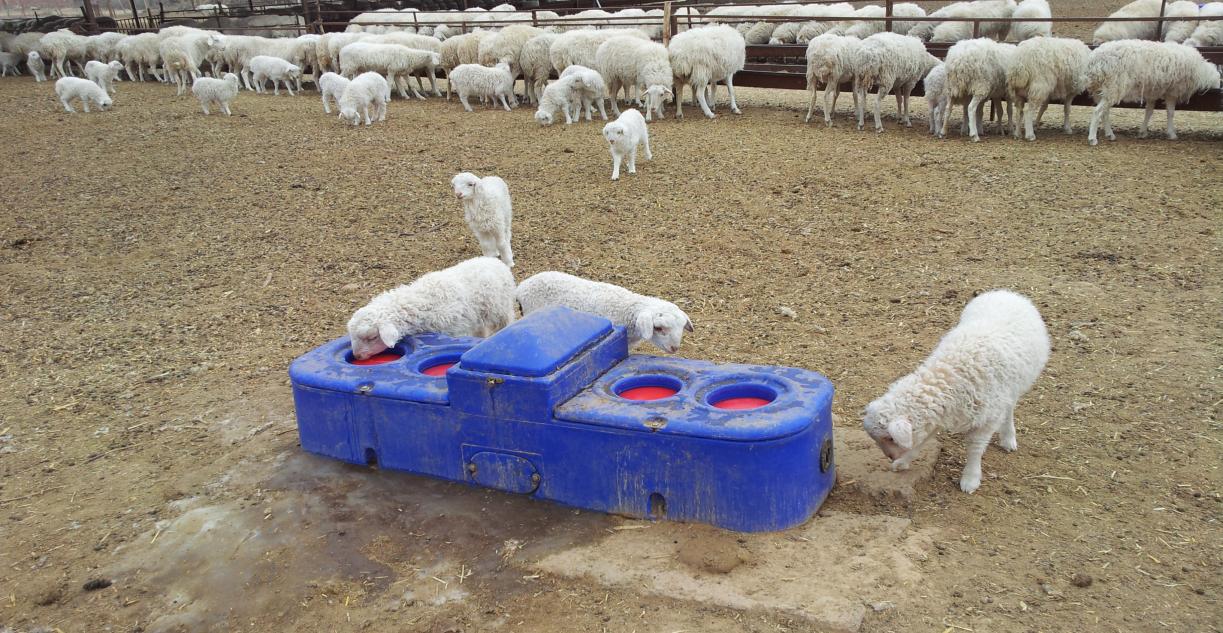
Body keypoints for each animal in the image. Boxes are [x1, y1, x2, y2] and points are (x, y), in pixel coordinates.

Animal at [347, 257, 516, 361]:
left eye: (372, 337)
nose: (357, 356)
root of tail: (495, 261)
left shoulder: (456, 330)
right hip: (477, 315)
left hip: (501, 308)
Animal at [862, 289, 1049, 494]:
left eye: (890, 438)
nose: (890, 456)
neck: (952, 372)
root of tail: (1006, 293)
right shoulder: (940, 412)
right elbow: (923, 439)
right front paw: (903, 462)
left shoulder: (988, 416)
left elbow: (975, 448)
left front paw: (970, 478)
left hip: (1015, 387)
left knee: (1009, 410)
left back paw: (1008, 438)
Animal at [1085, 40, 1221, 145]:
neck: (1201, 70)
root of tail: (1095, 61)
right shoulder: (1171, 91)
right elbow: (1170, 113)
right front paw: (1171, 133)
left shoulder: (1152, 92)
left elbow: (1149, 111)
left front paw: (1143, 132)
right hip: (1114, 86)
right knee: (1097, 112)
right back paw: (1092, 138)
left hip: (1101, 90)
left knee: (1104, 112)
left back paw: (1110, 134)